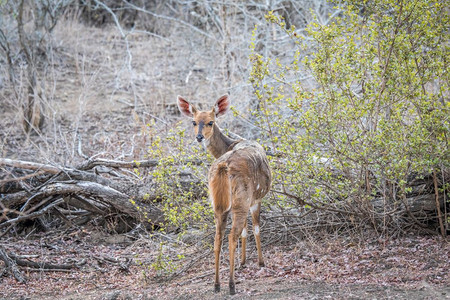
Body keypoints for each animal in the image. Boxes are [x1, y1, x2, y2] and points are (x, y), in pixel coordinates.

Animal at [178, 94, 270, 296]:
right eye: (194, 122)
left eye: (210, 122)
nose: (199, 137)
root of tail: (223, 166)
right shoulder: (255, 199)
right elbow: (255, 227)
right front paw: (259, 262)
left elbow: (245, 229)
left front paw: (243, 262)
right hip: (240, 200)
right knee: (231, 236)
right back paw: (231, 285)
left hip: (218, 205)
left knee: (218, 237)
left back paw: (216, 284)